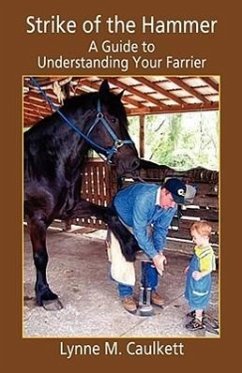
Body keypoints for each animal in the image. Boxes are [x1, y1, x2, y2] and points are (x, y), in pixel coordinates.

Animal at [24, 80, 140, 310]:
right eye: (112, 118)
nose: (134, 163)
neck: (46, 161)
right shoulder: (36, 218)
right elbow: (41, 257)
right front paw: (46, 295)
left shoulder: (70, 207)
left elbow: (109, 213)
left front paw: (129, 244)